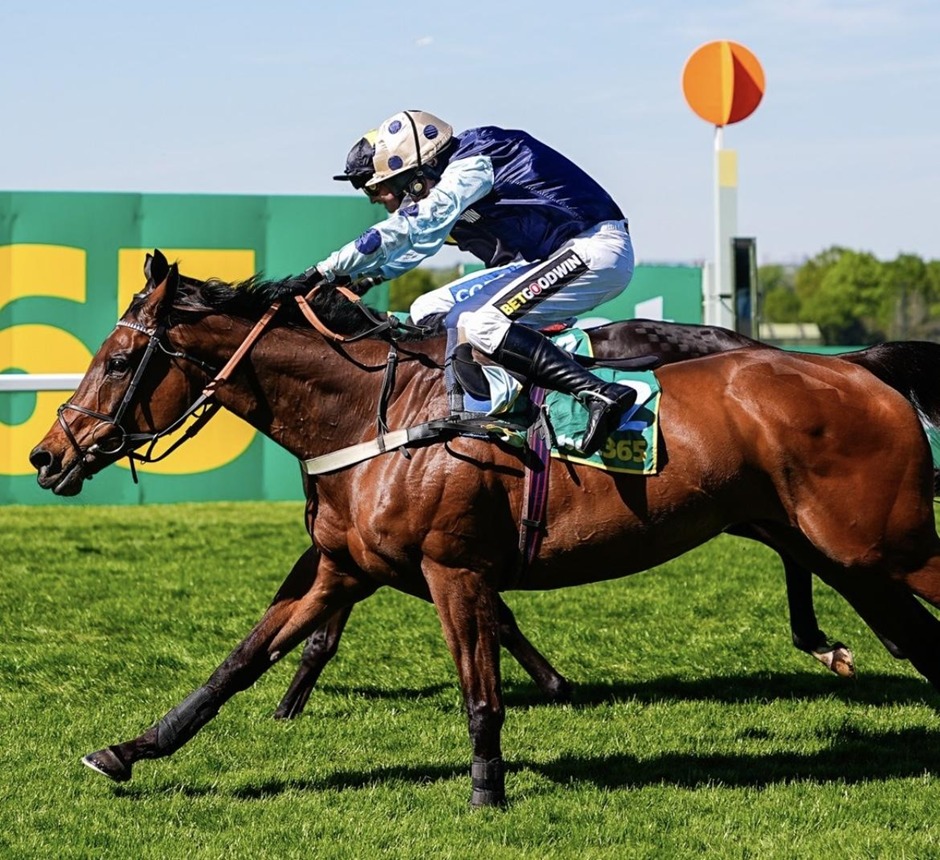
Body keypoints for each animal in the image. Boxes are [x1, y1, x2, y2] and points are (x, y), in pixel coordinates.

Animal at [30, 251, 940, 807]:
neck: (376, 415)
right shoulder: (343, 566)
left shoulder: (454, 567)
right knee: (917, 643)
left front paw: (487, 788)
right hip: (847, 554)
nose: (46, 454)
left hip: (889, 544)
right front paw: (131, 748)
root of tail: (857, 369)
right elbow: (246, 659)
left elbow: (479, 688)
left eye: (120, 360)